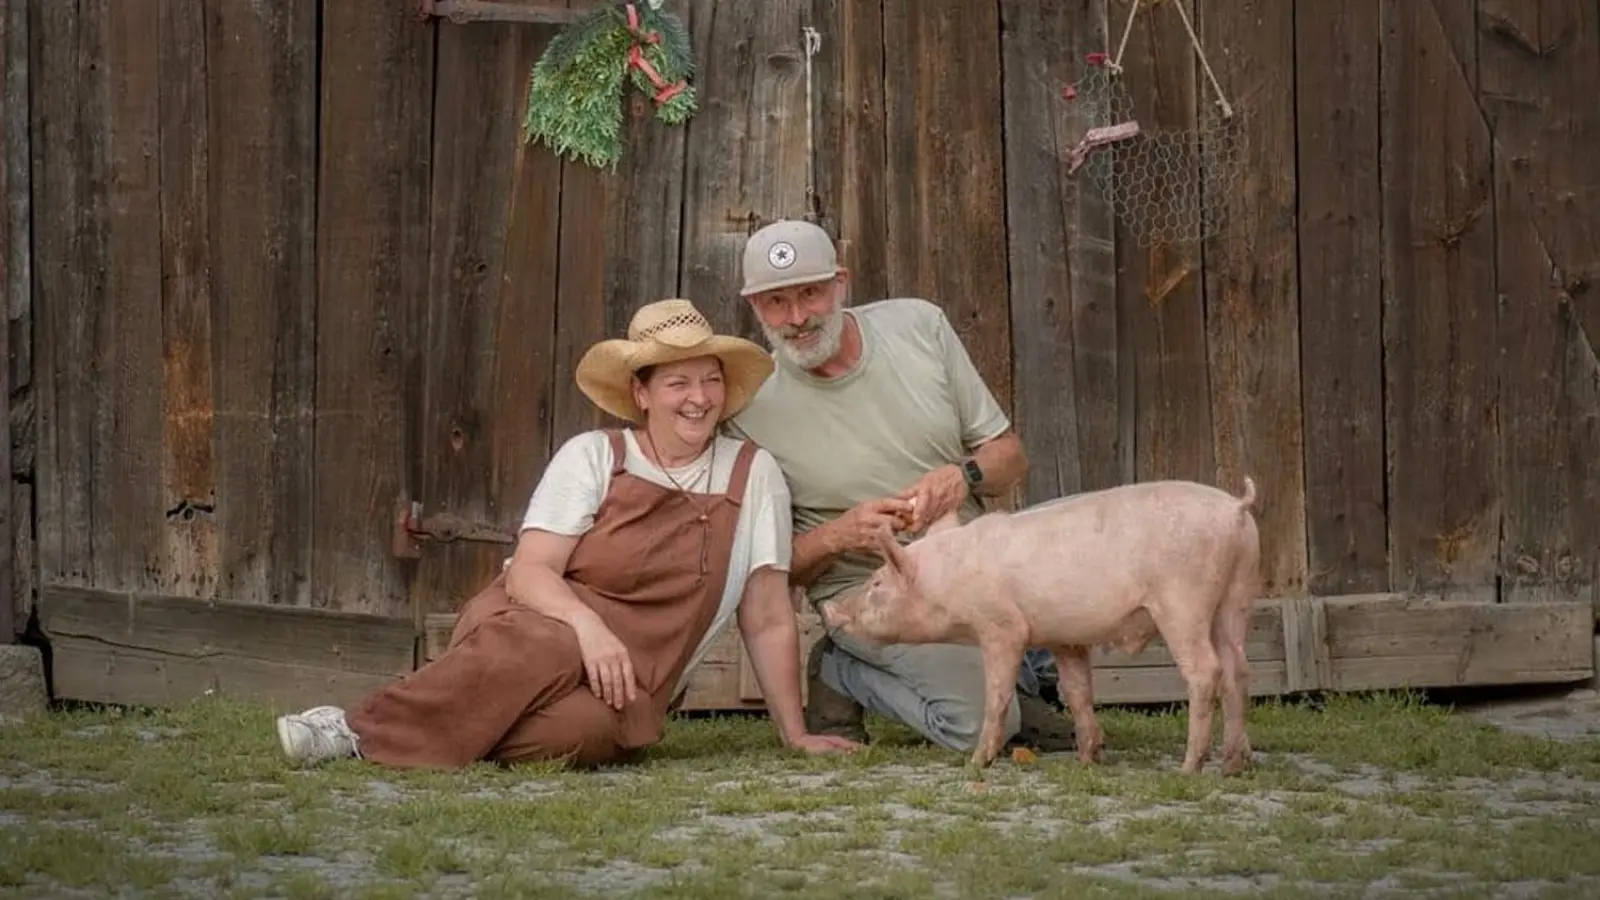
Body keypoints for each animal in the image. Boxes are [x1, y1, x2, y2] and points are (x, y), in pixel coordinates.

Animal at [825, 474, 1260, 775]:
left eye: (877, 582)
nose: (830, 608)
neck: (949, 579)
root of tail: (1235, 508)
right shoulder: (1063, 638)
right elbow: (1078, 693)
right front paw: (1085, 761)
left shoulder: (1001, 626)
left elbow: (998, 694)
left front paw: (976, 764)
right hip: (1235, 597)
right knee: (1238, 668)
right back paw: (1232, 767)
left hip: (1182, 599)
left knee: (1206, 670)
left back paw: (1189, 769)